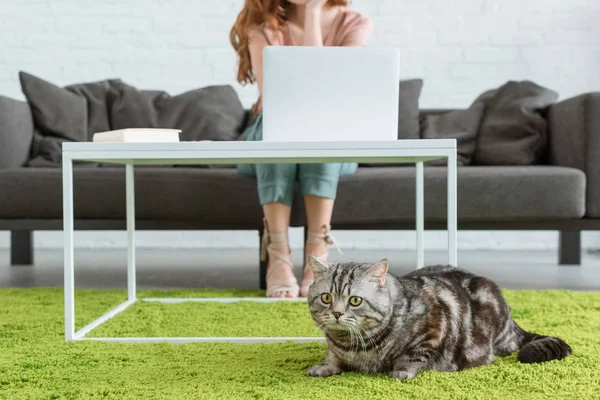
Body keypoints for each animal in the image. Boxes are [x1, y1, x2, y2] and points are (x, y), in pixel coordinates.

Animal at [308, 258, 568, 380]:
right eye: (326, 297)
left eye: (355, 301)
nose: (337, 313)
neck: (352, 345)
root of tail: (512, 323)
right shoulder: (335, 347)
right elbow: (332, 357)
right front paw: (323, 366)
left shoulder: (433, 329)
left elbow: (413, 356)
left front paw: (402, 371)